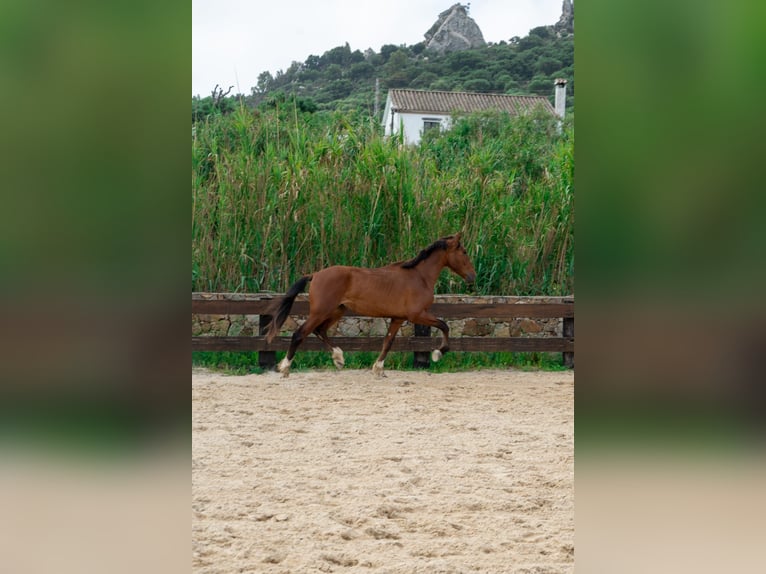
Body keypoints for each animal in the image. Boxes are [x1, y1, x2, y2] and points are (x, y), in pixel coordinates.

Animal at [264, 233, 476, 377]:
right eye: (464, 252)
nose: (472, 277)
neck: (419, 277)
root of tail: (315, 274)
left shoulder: (398, 318)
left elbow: (387, 342)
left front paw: (378, 369)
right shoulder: (417, 315)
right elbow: (444, 325)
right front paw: (438, 353)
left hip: (337, 311)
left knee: (320, 330)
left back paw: (339, 358)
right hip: (321, 311)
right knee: (300, 333)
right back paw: (285, 368)